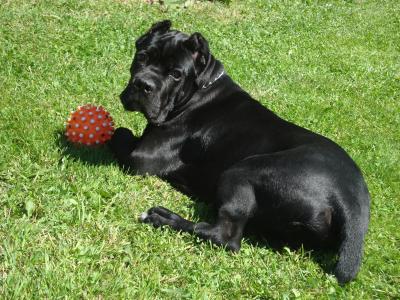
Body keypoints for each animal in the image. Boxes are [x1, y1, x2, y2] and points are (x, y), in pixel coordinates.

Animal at [108, 20, 370, 284]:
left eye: (176, 74)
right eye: (142, 56)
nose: (143, 84)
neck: (200, 88)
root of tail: (350, 199)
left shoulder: (142, 157)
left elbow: (118, 132)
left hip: (242, 171)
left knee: (226, 237)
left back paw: (162, 217)